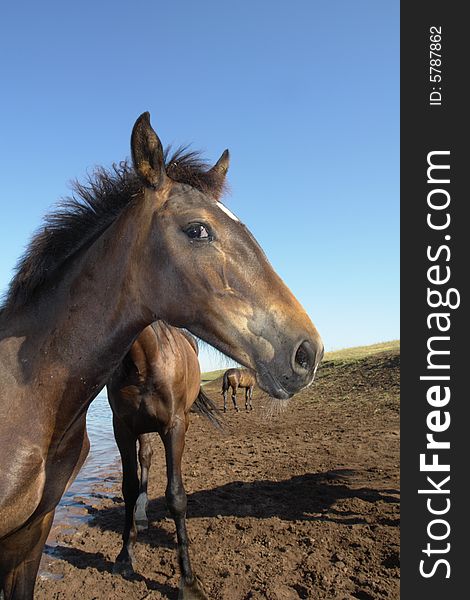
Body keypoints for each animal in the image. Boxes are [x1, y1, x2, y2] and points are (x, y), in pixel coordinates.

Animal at [106, 322, 218, 592]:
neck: (144, 362)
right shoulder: (123, 428)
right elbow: (129, 487)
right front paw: (125, 555)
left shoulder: (173, 427)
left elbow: (176, 495)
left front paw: (188, 579)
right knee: (145, 456)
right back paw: (141, 513)